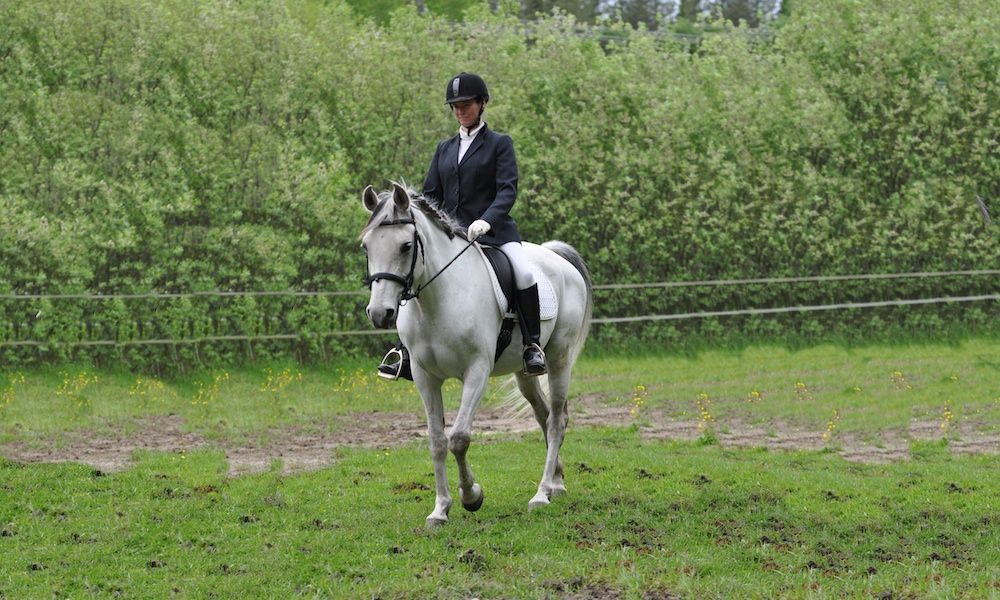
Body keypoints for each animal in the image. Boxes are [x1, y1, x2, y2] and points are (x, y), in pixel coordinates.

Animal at [360, 183, 593, 526]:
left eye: (405, 246)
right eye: (366, 247)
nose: (380, 313)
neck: (438, 299)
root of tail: (555, 257)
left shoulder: (477, 372)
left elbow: (459, 438)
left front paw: (471, 496)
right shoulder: (425, 377)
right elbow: (437, 441)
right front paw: (440, 510)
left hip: (559, 359)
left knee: (556, 421)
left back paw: (541, 493)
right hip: (524, 371)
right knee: (543, 415)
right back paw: (557, 482)